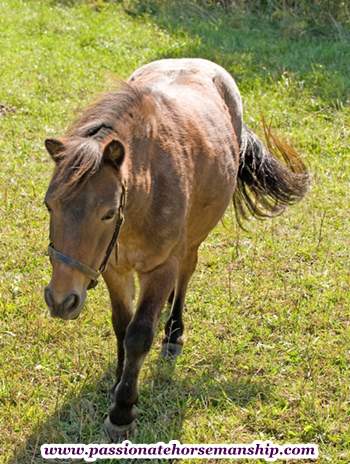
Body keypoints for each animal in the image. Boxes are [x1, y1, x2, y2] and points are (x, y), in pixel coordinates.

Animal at [43, 58, 308, 438]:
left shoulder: (160, 268)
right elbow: (122, 325)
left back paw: (173, 331)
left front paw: (122, 410)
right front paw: (118, 384)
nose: (61, 300)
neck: (145, 190)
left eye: (107, 212)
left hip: (193, 239)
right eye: (50, 205)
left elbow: (139, 334)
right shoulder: (113, 269)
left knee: (185, 274)